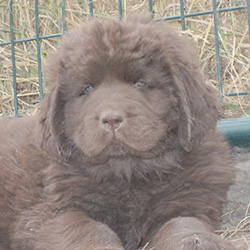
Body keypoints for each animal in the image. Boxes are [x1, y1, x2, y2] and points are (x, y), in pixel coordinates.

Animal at [0, 16, 236, 249]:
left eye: (140, 83)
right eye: (87, 89)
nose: (111, 118)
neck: (128, 172)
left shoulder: (191, 200)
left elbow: (183, 224)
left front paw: (195, 243)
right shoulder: (53, 213)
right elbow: (90, 231)